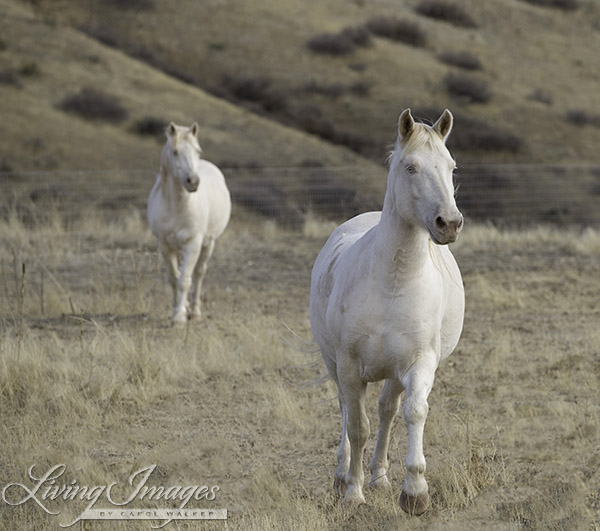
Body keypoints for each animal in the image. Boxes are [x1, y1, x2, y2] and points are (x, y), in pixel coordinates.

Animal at [147, 122, 230, 326]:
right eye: (175, 151)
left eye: (197, 150)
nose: (193, 181)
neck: (176, 206)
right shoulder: (164, 246)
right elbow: (173, 278)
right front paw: (178, 309)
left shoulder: (193, 244)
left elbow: (185, 280)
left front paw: (179, 317)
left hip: (208, 244)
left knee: (199, 274)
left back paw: (196, 311)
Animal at [310, 109, 464, 516]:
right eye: (411, 167)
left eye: (451, 167)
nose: (449, 223)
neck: (393, 283)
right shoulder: (349, 366)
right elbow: (357, 426)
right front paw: (353, 491)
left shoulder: (419, 362)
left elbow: (413, 412)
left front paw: (415, 492)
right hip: (334, 362)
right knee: (348, 413)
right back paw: (342, 475)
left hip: (393, 373)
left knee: (387, 411)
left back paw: (379, 476)